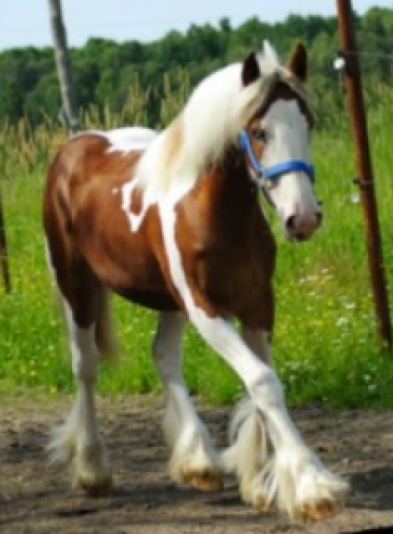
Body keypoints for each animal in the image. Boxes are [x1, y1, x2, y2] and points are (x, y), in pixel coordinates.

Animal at [43, 42, 346, 524]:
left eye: (308, 122)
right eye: (258, 131)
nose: (303, 218)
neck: (216, 210)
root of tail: (75, 146)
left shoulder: (258, 304)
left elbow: (263, 382)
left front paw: (262, 483)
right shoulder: (207, 309)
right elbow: (263, 381)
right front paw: (312, 488)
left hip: (169, 301)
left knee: (164, 357)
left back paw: (199, 463)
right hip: (77, 286)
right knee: (85, 367)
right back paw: (93, 471)